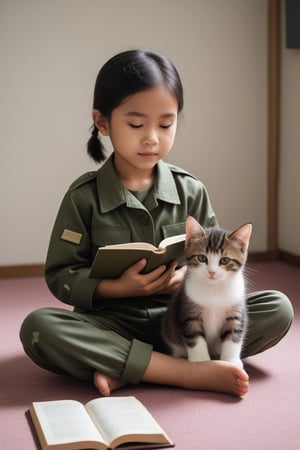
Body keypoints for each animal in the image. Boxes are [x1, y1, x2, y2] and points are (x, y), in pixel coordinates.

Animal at [163, 216, 252, 368]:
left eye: (225, 260)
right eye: (202, 258)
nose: (212, 272)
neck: (214, 288)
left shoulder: (236, 309)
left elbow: (234, 333)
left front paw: (231, 361)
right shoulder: (188, 309)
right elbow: (193, 335)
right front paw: (201, 361)